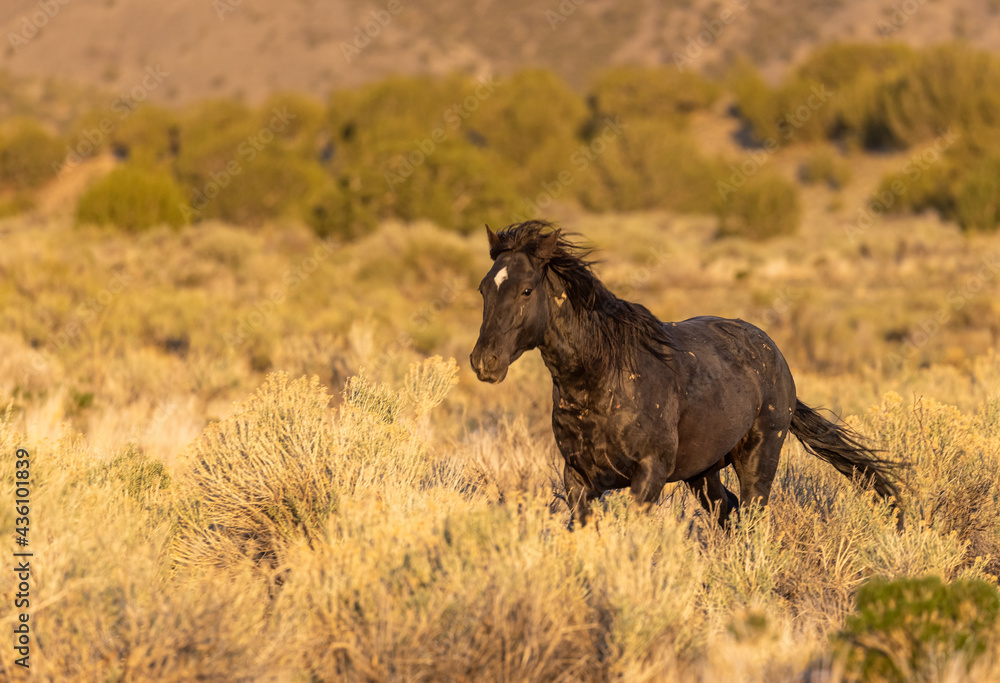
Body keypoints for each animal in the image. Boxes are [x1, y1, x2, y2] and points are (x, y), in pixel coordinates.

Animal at [470, 221, 902, 528]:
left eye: (527, 290)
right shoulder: (578, 480)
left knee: (752, 515)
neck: (601, 379)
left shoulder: (649, 477)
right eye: (483, 289)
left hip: (759, 459)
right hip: (702, 473)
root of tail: (774, 354)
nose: (484, 362)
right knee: (726, 510)